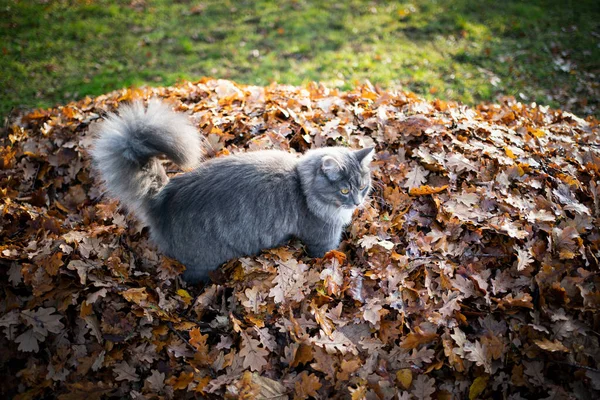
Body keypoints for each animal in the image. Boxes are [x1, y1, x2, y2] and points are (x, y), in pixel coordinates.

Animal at [91, 99, 372, 282]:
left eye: (362, 186)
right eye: (344, 191)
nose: (357, 203)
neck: (302, 187)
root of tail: (163, 197)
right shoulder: (322, 242)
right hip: (201, 262)